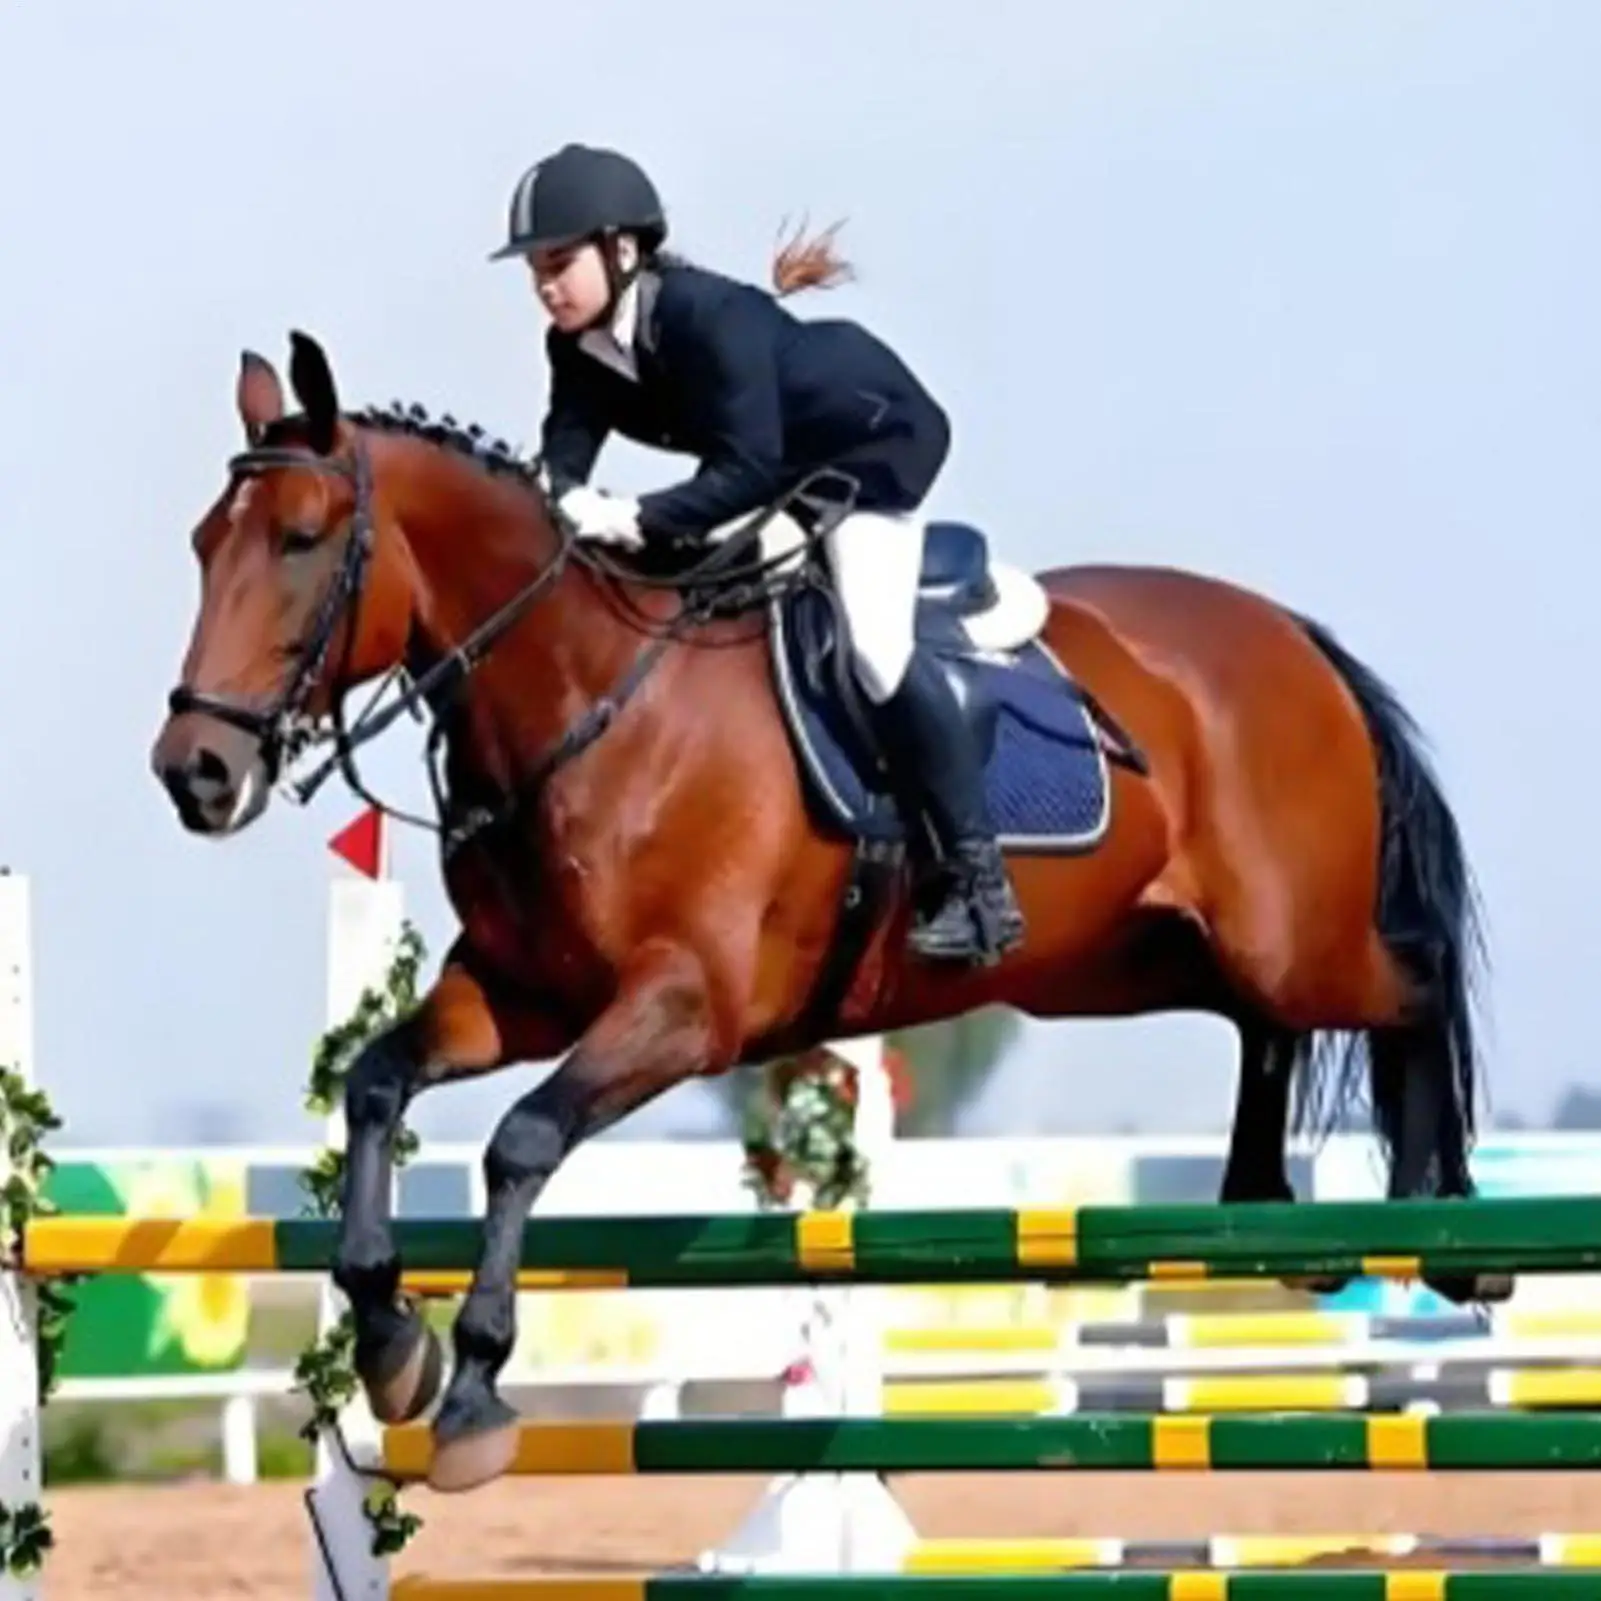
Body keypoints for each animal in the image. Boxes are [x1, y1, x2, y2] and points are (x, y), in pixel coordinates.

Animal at [148, 328, 1493, 1494]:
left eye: (305, 539)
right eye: (204, 544)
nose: (194, 772)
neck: (585, 695)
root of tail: (1292, 638)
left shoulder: (682, 1008)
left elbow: (520, 1141)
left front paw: (473, 1389)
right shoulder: (519, 997)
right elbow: (378, 1082)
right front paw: (388, 1339)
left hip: (1295, 941)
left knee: (1412, 985)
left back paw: (1447, 1229)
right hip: (1133, 959)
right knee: (1262, 1025)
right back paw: (1262, 1207)